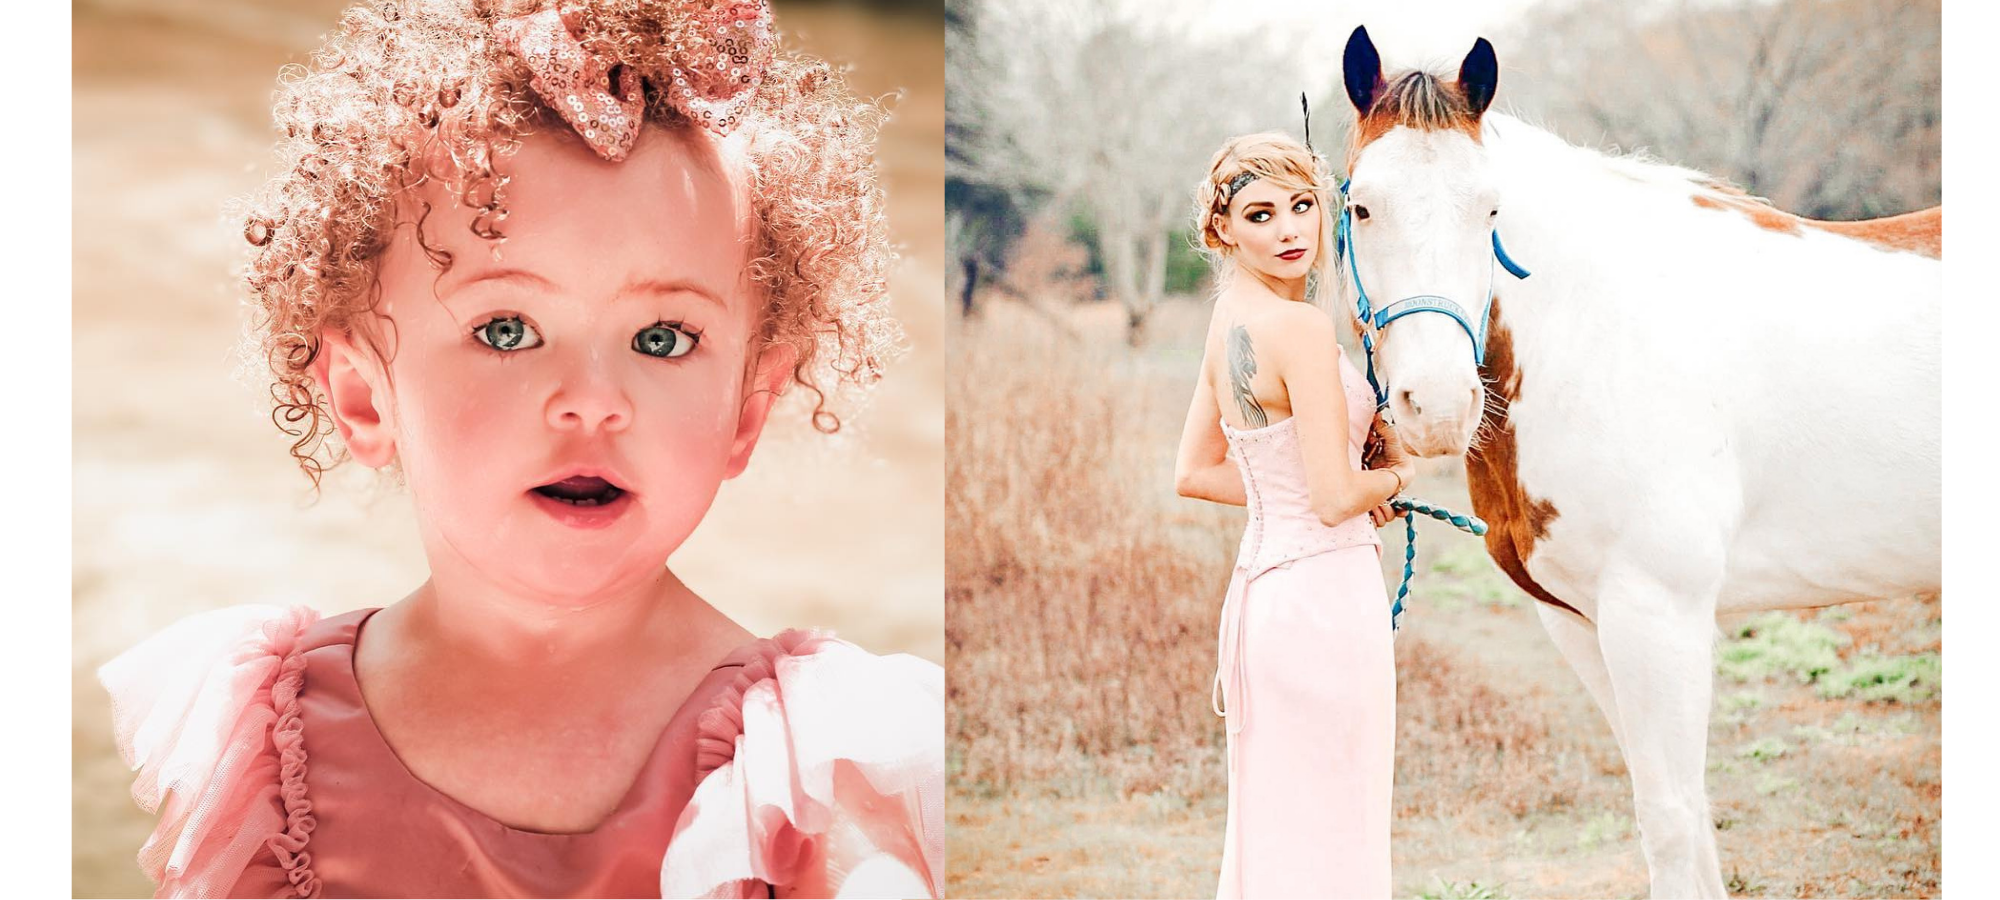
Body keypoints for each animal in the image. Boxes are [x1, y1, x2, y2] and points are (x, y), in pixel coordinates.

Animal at [1336, 24, 1944, 896]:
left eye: (1490, 208)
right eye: (1361, 205)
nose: (1441, 405)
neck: (1600, 330)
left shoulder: (1659, 618)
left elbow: (1671, 822)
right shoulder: (1579, 622)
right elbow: (1684, 817)